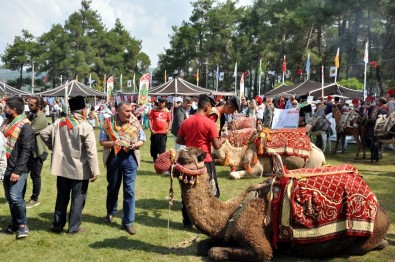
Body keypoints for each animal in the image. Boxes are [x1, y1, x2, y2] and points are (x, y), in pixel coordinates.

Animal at [172, 147, 392, 262]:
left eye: (186, 158)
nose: (170, 161)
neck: (230, 212)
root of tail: (383, 213)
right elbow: (202, 246)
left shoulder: (258, 243)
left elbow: (214, 251)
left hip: (366, 239)